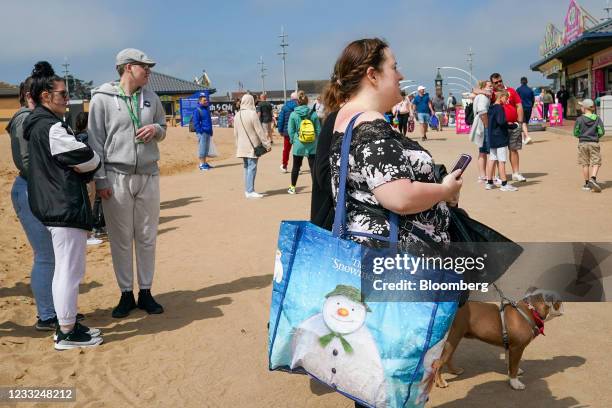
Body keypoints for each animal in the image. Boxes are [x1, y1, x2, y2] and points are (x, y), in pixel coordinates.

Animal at [432, 288, 560, 390]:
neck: (531, 310)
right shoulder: (517, 348)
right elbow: (513, 366)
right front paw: (515, 383)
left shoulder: (511, 347)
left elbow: (511, 362)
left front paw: (513, 372)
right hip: (453, 338)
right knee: (439, 362)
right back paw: (440, 382)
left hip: (453, 340)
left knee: (447, 358)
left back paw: (455, 370)